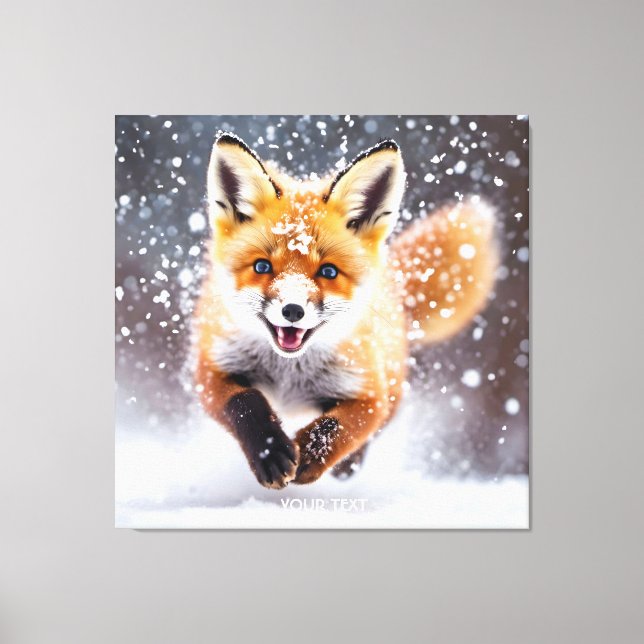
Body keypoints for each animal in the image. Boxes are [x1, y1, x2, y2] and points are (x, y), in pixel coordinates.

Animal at [194, 132, 498, 488]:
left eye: (328, 272)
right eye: (262, 266)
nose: (293, 310)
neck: (289, 374)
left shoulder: (369, 391)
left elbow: (341, 426)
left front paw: (312, 454)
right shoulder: (211, 370)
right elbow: (245, 402)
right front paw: (270, 451)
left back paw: (348, 463)